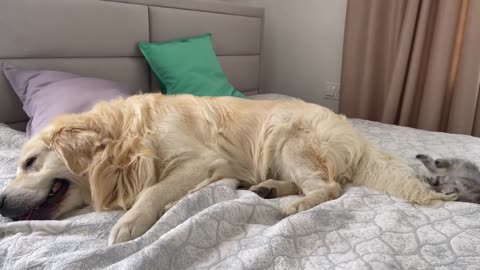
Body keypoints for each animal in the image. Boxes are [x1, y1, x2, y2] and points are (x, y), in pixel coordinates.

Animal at [0, 93, 454, 245]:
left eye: (30, 162)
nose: (2, 202)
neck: (126, 137)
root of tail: (356, 136)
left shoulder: (202, 161)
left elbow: (151, 191)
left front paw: (129, 223)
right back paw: (269, 189)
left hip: (286, 132)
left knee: (329, 188)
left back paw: (290, 206)